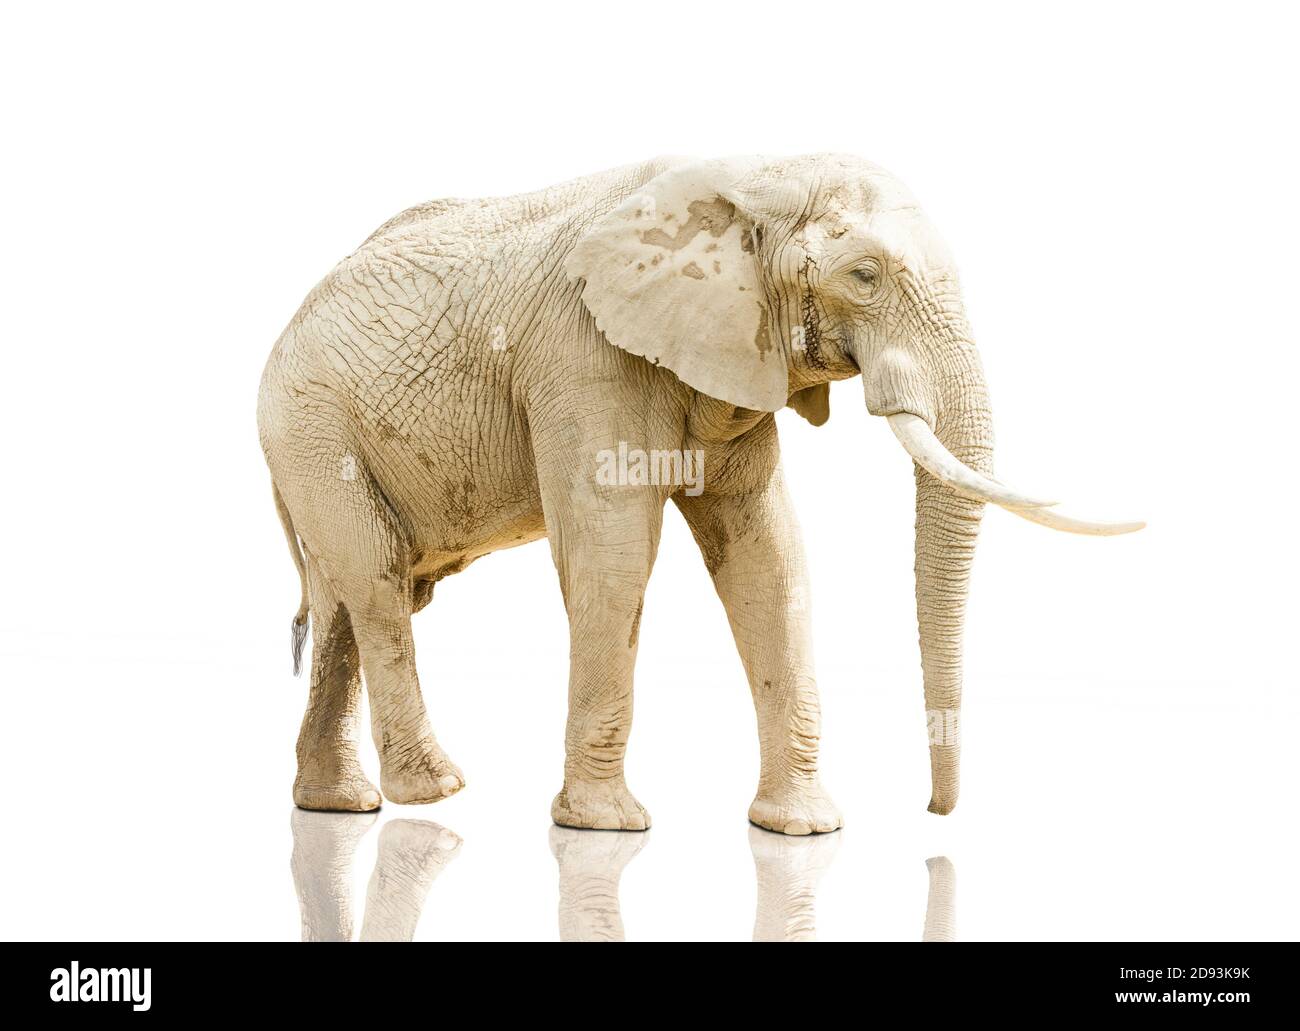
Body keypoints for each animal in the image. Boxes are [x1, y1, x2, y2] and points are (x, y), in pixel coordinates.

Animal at [258, 154, 1142, 835]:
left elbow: (768, 558)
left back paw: (338, 805)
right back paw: (435, 791)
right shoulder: (587, 355)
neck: (754, 175)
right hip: (313, 425)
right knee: (378, 584)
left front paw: (802, 828)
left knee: (347, 601)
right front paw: (607, 826)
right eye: (865, 275)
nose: (935, 812)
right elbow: (612, 556)